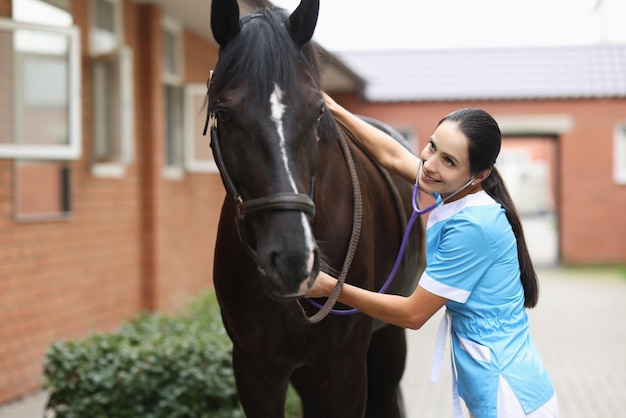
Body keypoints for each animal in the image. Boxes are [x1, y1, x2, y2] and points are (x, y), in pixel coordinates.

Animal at [207, 1, 422, 416]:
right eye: (223, 114)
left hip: (389, 341)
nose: (293, 260)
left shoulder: (344, 370)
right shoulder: (255, 370)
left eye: (318, 110)